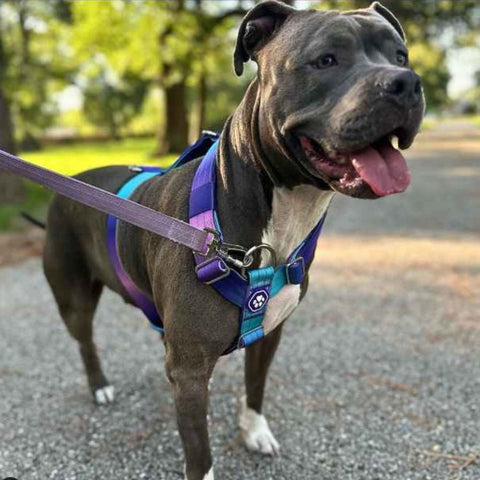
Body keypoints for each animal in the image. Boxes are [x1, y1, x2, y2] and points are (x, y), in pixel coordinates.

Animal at [42, 1, 424, 478]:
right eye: (326, 60)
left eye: (400, 55)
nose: (406, 82)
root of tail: (66, 184)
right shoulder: (190, 371)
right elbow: (199, 452)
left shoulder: (268, 335)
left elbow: (254, 386)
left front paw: (254, 432)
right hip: (72, 296)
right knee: (85, 340)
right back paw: (99, 387)